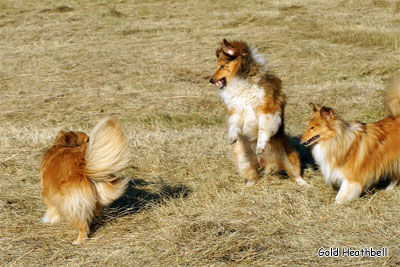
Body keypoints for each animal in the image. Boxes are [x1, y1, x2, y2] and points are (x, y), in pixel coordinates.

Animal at [40, 117, 130, 245]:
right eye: (87, 139)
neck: (63, 146)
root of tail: (83, 166)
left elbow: (51, 208)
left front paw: (49, 219)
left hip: (72, 202)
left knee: (82, 224)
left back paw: (79, 241)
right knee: (96, 212)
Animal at [209, 38, 306, 187]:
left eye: (222, 66)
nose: (210, 80)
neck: (243, 81)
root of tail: (266, 162)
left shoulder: (267, 111)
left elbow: (262, 130)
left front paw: (260, 146)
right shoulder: (237, 111)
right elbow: (234, 124)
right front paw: (232, 136)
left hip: (289, 156)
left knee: (294, 172)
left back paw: (303, 183)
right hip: (243, 160)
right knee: (253, 175)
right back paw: (248, 186)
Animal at [300, 73, 400, 205]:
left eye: (312, 127)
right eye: (308, 126)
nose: (300, 139)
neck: (337, 139)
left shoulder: (351, 179)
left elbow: (340, 196)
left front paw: (333, 206)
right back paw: (387, 190)